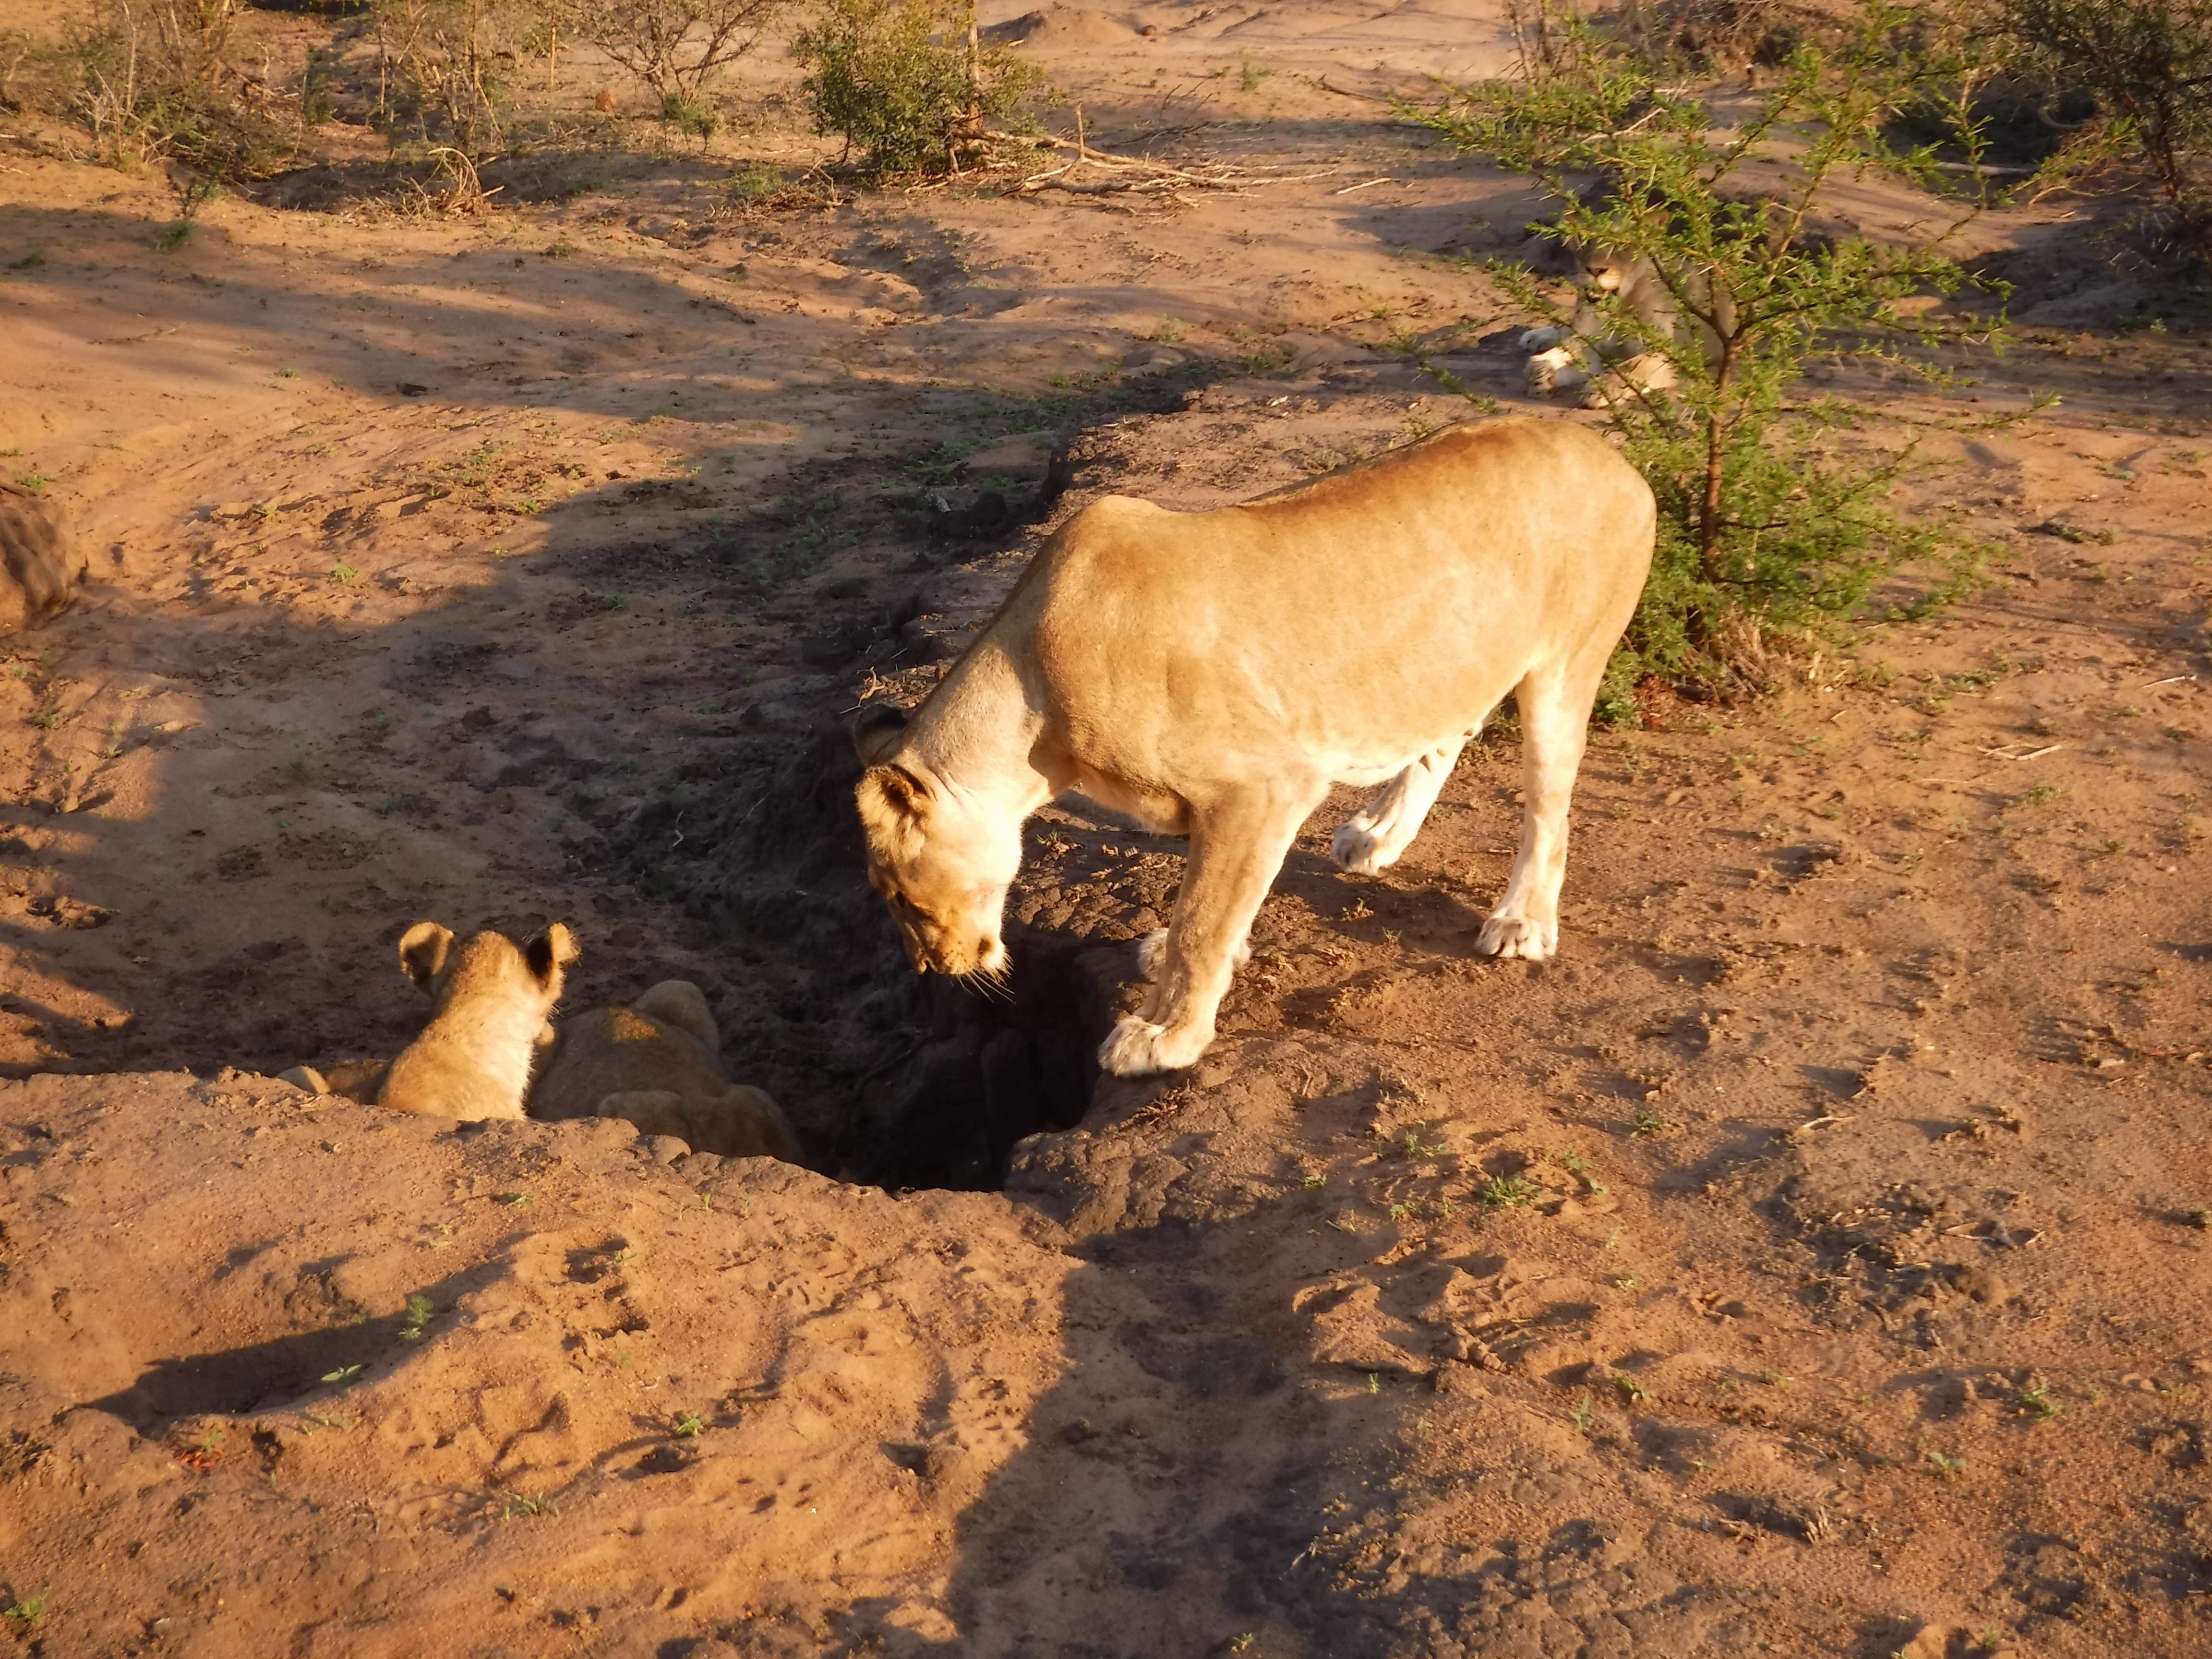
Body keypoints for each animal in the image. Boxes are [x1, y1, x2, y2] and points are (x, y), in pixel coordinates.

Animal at [852, 417, 1655, 1077]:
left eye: (900, 896)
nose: (934, 967)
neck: (1028, 712)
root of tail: (1614, 455)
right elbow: (1216, 903)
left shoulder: (1267, 785)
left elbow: (1205, 918)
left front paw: (1164, 1037)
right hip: (1451, 659)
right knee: (1446, 733)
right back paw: (1377, 835)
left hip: (1563, 669)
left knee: (1550, 807)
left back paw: (1522, 923)